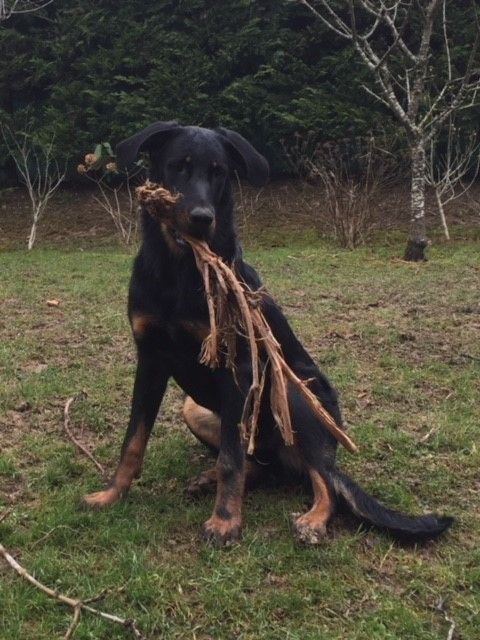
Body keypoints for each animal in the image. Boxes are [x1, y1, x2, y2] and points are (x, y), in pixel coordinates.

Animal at [83, 124, 454, 544]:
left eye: (219, 172)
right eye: (178, 166)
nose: (202, 218)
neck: (179, 270)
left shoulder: (238, 367)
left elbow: (230, 460)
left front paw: (226, 521)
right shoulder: (150, 358)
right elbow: (134, 440)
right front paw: (111, 494)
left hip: (290, 393)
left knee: (322, 478)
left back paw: (313, 519)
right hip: (195, 408)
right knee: (262, 465)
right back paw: (210, 480)